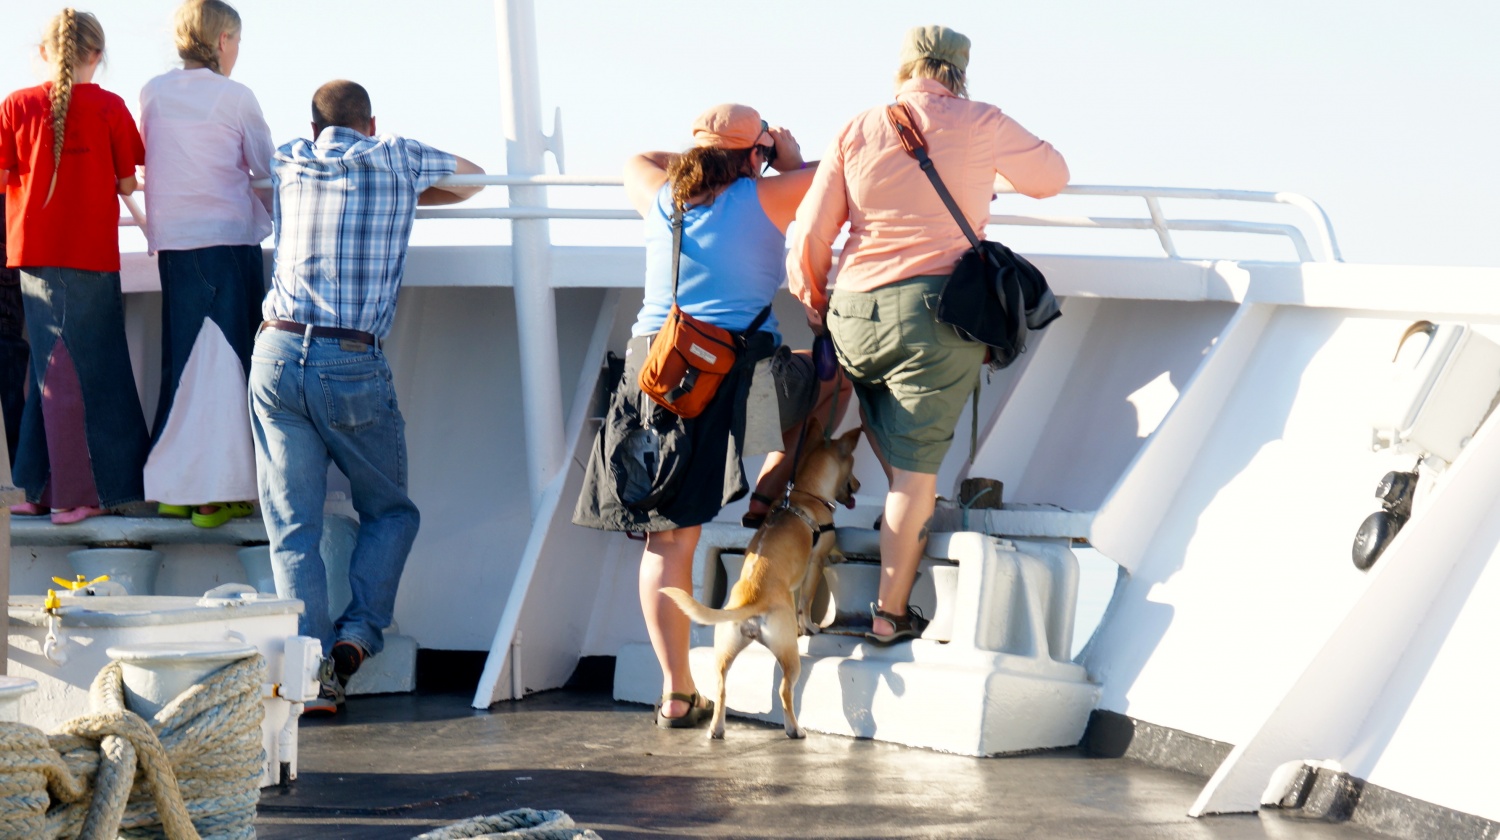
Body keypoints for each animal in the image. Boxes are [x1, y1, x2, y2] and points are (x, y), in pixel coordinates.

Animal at [663, 420, 864, 741]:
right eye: (853, 468)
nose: (857, 485)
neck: (805, 492)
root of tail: (750, 601)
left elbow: (799, 599)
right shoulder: (815, 563)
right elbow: (806, 601)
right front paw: (810, 626)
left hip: (724, 653)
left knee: (721, 689)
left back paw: (716, 729)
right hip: (789, 656)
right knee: (784, 691)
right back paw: (794, 729)